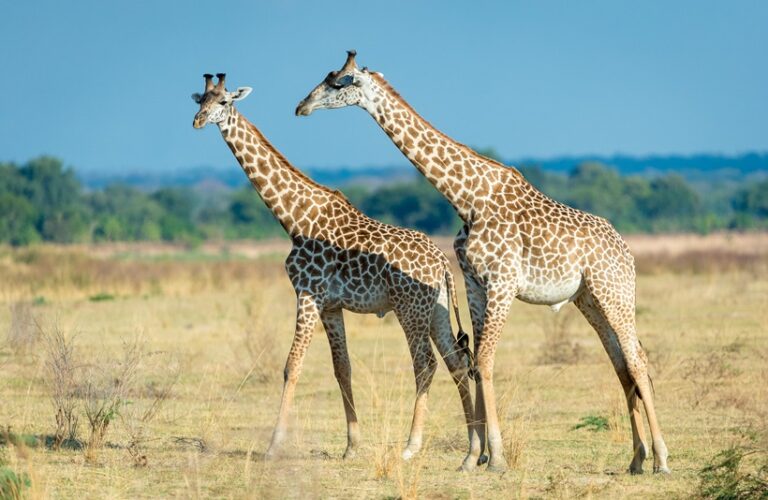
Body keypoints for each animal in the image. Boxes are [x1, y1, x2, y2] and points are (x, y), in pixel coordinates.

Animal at [192, 73, 483, 466]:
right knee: (455, 361)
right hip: (434, 310)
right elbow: (342, 368)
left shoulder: (307, 293)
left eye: (223, 102)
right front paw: (352, 445)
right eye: (199, 101)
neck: (294, 217)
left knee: (425, 364)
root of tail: (441, 264)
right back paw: (472, 448)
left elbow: (292, 365)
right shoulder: (331, 305)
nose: (198, 121)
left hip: (410, 309)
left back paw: (412, 445)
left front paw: (273, 446)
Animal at [295, 51, 670, 474]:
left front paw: (496, 457)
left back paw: (661, 458)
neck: (467, 198)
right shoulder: (474, 283)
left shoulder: (502, 282)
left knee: (637, 359)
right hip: (588, 298)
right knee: (621, 363)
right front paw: (473, 456)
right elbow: (474, 360)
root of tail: (627, 251)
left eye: (339, 82)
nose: (301, 106)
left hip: (614, 290)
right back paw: (637, 458)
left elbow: (487, 360)